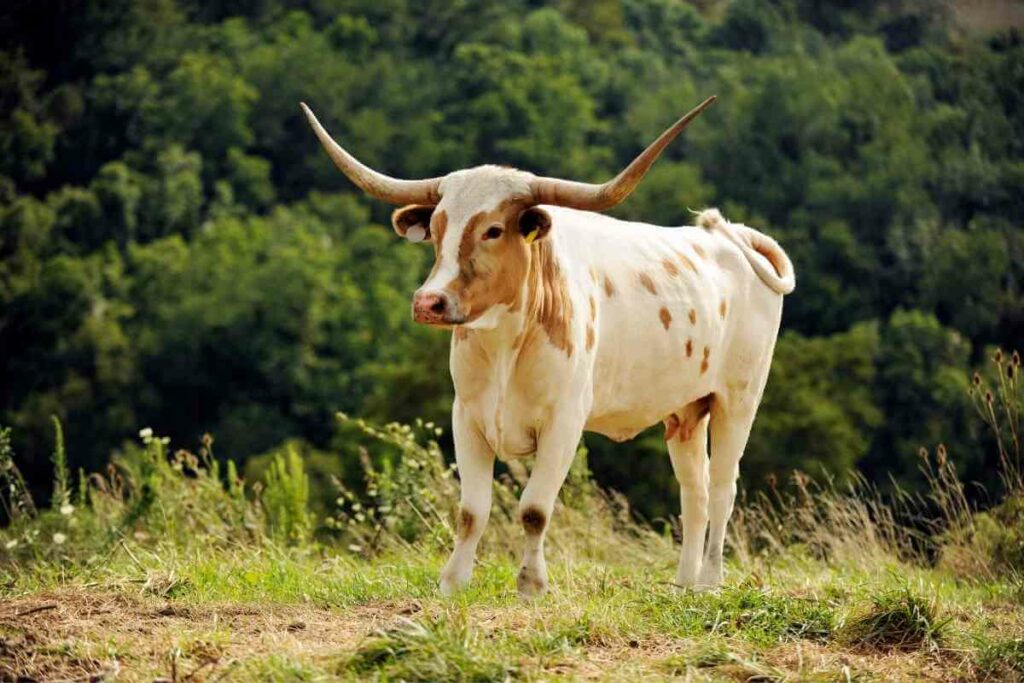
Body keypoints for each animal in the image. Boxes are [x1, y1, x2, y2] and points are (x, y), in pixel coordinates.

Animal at [299, 97, 794, 598]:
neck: (503, 346)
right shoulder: (467, 417)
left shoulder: (564, 422)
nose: (428, 302)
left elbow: (534, 509)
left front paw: (531, 584)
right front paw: (453, 582)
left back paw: (710, 582)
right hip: (685, 411)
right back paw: (684, 584)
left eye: (493, 230)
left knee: (722, 487)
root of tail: (731, 236)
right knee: (694, 490)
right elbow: (471, 511)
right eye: (437, 229)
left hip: (738, 400)